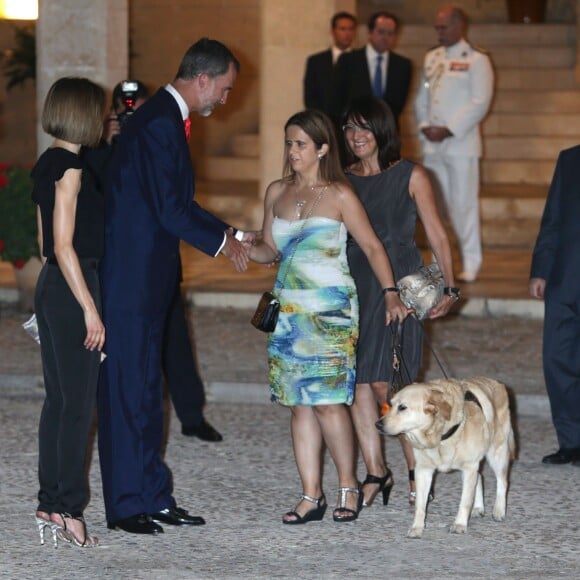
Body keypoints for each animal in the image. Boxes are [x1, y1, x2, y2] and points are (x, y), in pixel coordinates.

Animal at [378, 378, 516, 536]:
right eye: (391, 405)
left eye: (402, 407)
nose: (377, 424)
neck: (439, 435)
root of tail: (498, 383)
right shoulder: (423, 470)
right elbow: (420, 504)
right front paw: (417, 527)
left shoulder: (469, 467)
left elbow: (465, 502)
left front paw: (460, 524)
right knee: (480, 477)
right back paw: (478, 508)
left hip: (496, 453)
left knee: (502, 481)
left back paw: (499, 510)